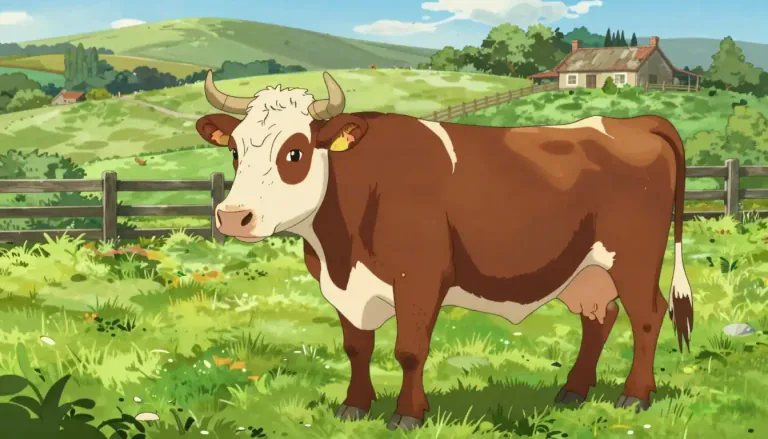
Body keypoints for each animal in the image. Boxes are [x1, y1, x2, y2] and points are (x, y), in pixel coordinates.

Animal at [194, 71, 695, 431]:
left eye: (295, 153)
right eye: (235, 151)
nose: (233, 217)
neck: (339, 248)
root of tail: (635, 123)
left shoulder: (419, 278)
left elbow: (410, 350)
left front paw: (407, 414)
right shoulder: (345, 288)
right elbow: (356, 347)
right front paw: (354, 407)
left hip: (633, 257)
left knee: (647, 316)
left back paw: (635, 396)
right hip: (585, 269)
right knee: (600, 318)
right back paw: (573, 391)